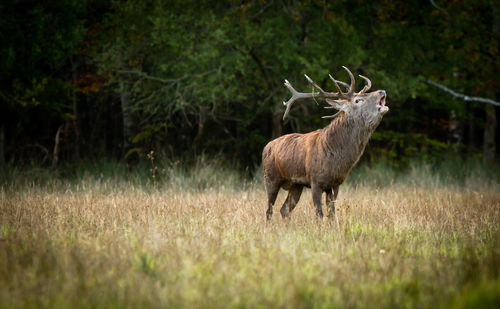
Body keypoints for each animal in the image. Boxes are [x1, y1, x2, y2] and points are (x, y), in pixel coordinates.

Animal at [264, 65, 388, 219]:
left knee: (284, 209)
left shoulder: (335, 183)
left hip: (295, 184)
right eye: (358, 100)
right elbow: (319, 213)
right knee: (269, 209)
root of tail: (267, 146)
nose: (382, 91)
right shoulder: (315, 180)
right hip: (270, 177)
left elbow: (331, 214)